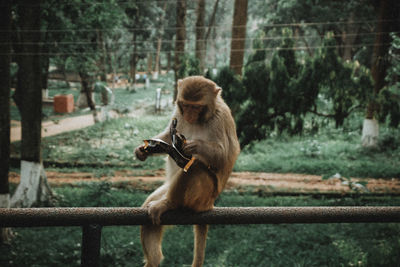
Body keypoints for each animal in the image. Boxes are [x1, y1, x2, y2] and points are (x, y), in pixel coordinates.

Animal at [134, 76, 241, 267]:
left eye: (196, 107)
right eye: (186, 105)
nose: (189, 115)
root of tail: (209, 204)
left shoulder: (221, 118)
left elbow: (225, 155)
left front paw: (193, 146)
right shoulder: (178, 114)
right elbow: (168, 136)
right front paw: (142, 150)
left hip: (202, 197)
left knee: (195, 168)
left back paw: (168, 203)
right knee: (149, 209)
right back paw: (153, 260)